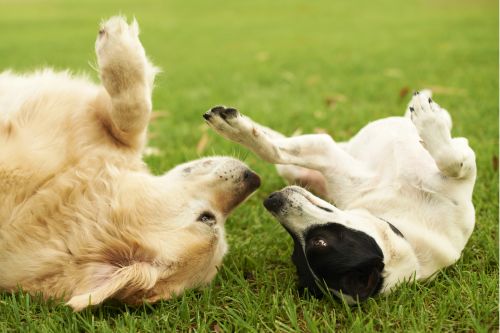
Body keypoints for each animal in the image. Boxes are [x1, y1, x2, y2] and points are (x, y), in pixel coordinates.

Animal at [204, 90, 476, 300]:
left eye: (320, 242)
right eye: (295, 251)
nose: (272, 201)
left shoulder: (462, 162)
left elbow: (451, 161)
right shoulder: (329, 156)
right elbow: (273, 151)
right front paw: (236, 128)